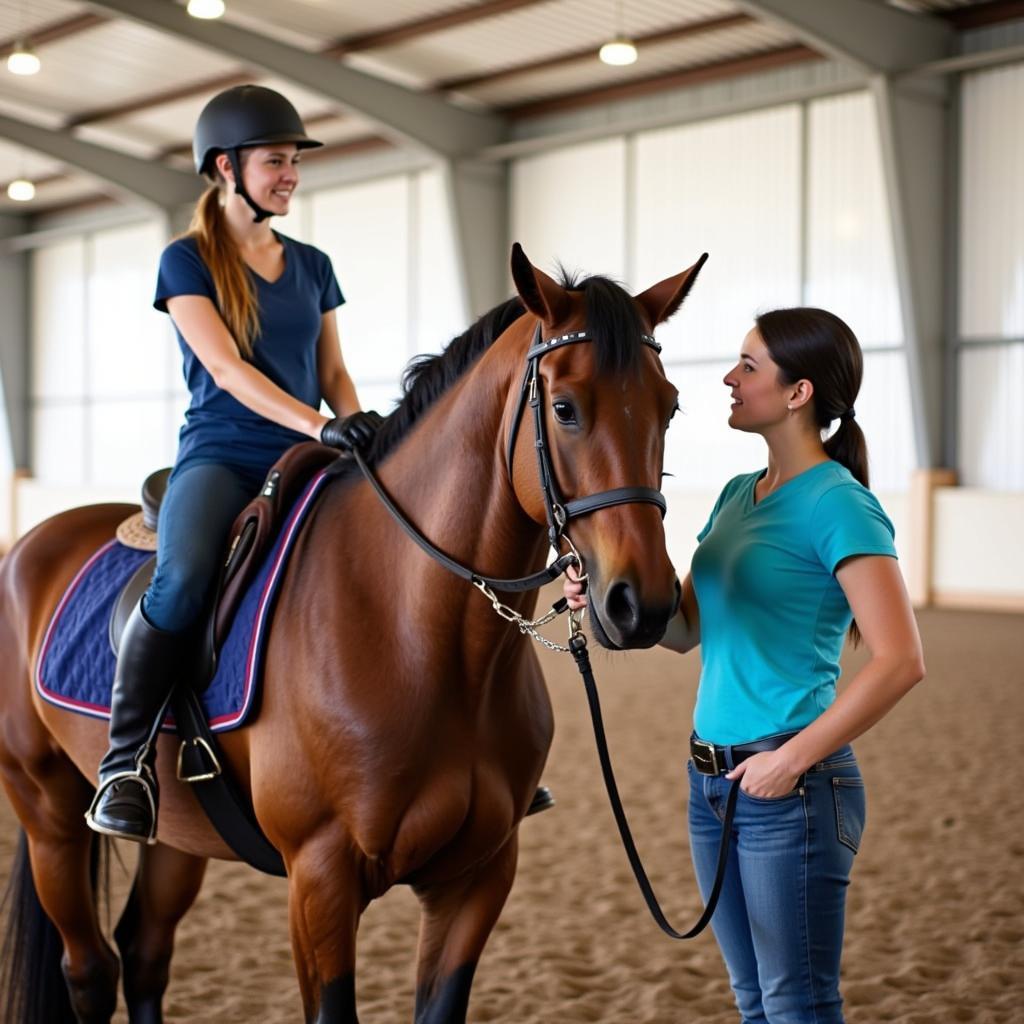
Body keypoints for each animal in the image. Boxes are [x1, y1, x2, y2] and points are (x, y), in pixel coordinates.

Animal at [0, 243, 704, 1019]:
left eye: (671, 407)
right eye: (564, 408)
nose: (643, 604)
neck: (422, 641)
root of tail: (34, 543)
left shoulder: (478, 878)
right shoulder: (322, 878)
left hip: (179, 835)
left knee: (145, 953)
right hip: (46, 806)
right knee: (91, 969)